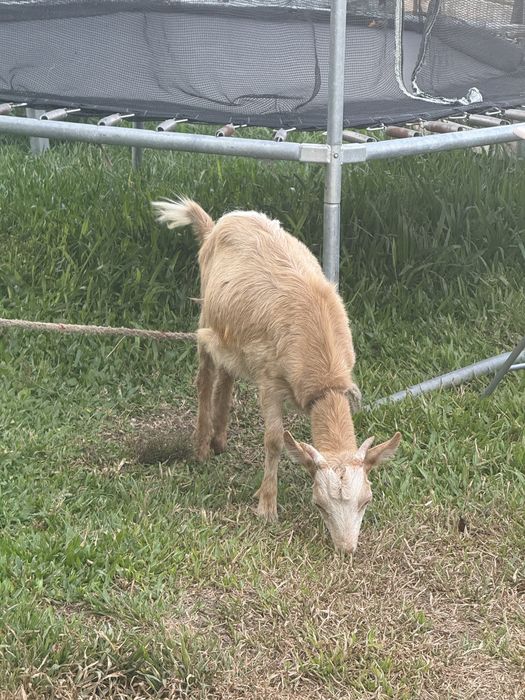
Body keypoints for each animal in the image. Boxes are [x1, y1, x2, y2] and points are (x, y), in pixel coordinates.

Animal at [152, 198, 401, 553]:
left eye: (366, 500)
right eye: (319, 504)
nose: (346, 548)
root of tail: (217, 225)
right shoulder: (269, 380)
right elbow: (273, 440)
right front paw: (266, 506)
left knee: (227, 375)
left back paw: (219, 439)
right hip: (206, 322)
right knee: (205, 378)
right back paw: (201, 448)